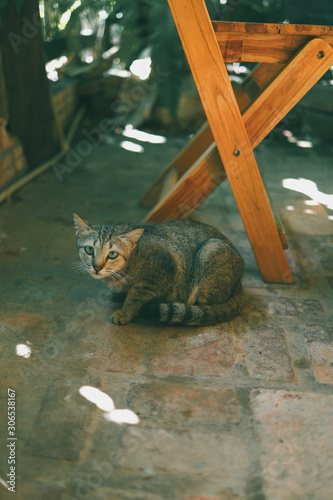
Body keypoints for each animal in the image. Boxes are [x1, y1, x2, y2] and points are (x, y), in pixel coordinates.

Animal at [73, 213, 244, 326]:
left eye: (112, 254)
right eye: (89, 250)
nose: (97, 267)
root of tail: (240, 282)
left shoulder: (159, 275)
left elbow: (134, 298)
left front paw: (125, 313)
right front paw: (119, 292)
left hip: (210, 250)